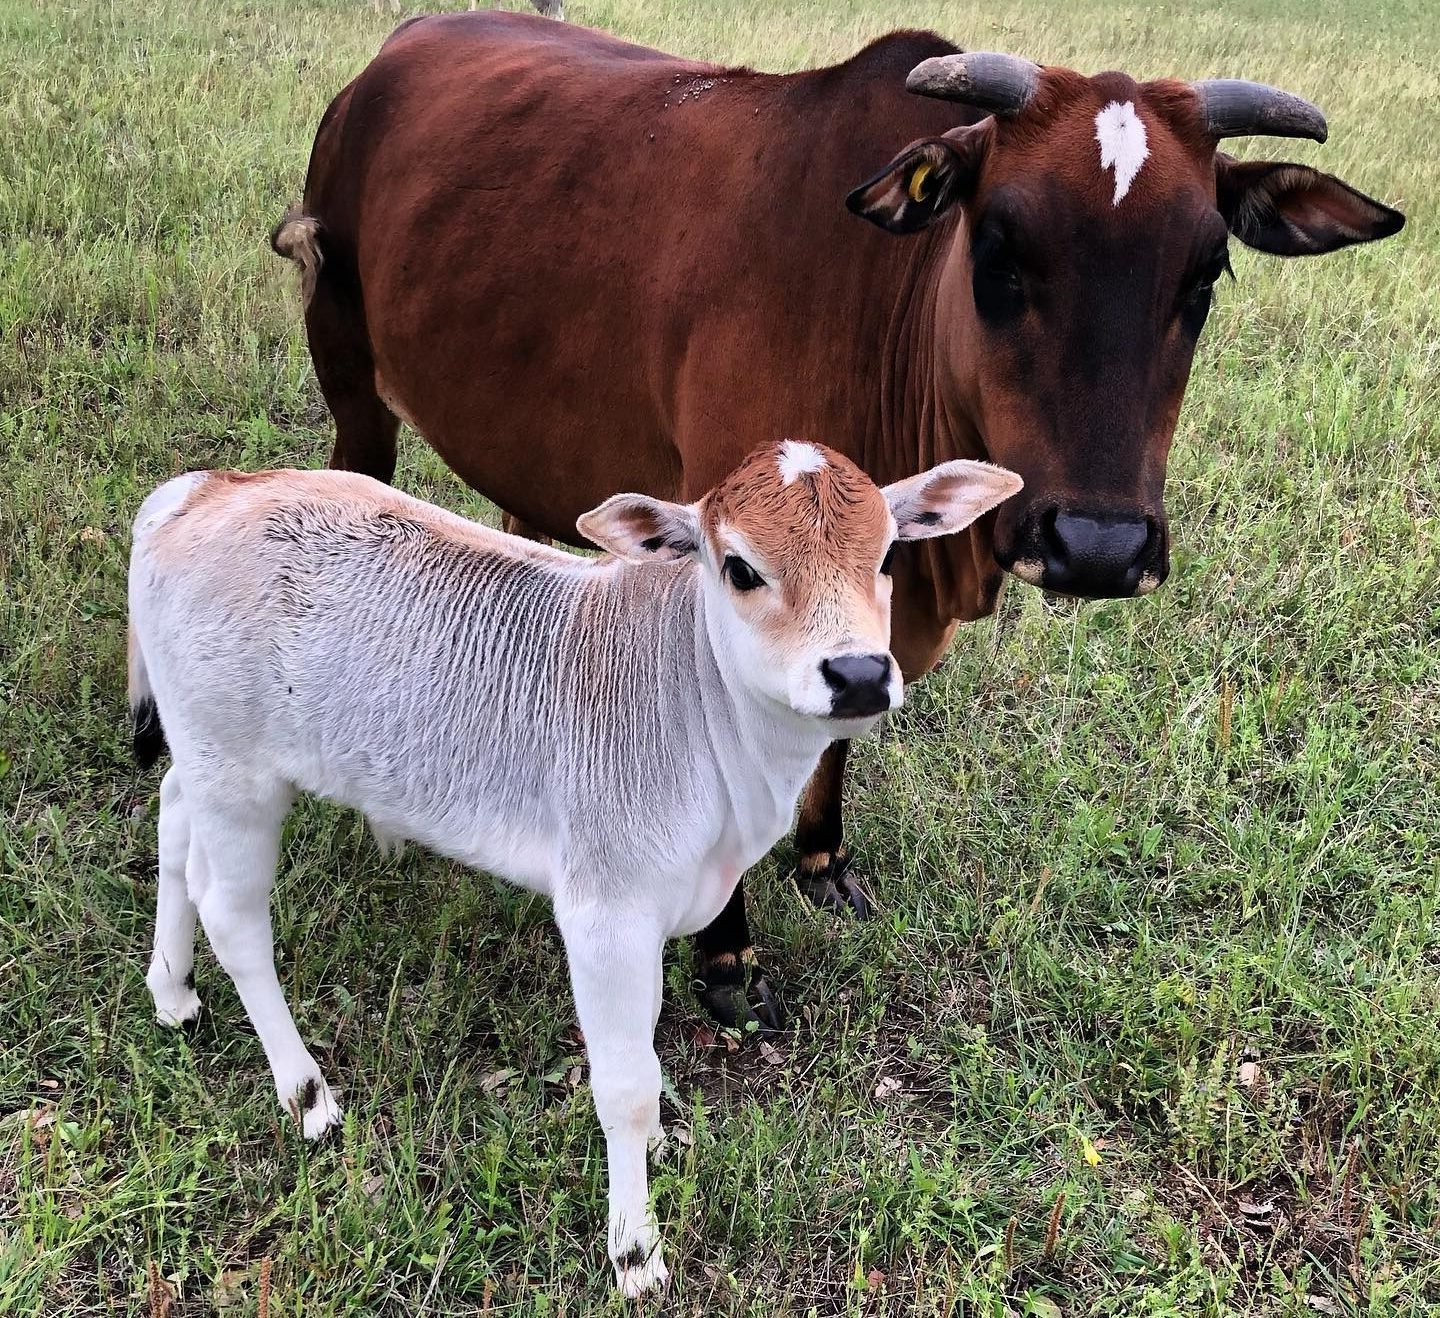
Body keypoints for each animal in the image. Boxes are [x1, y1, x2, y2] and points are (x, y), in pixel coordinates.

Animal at [127, 442, 1023, 1294]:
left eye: (887, 554)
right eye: (740, 569)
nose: (861, 674)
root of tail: (203, 489)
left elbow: (651, 1049)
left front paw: (659, 1141)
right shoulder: (606, 915)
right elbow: (622, 1084)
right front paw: (634, 1249)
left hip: (204, 758)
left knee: (171, 811)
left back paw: (171, 991)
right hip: (238, 768)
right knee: (235, 918)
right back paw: (307, 1092)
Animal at [270, 11, 1404, 1031]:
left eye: (1205, 269)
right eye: (998, 249)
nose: (1099, 545)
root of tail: (391, 55)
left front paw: (823, 860)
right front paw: (727, 958)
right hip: (350, 384)